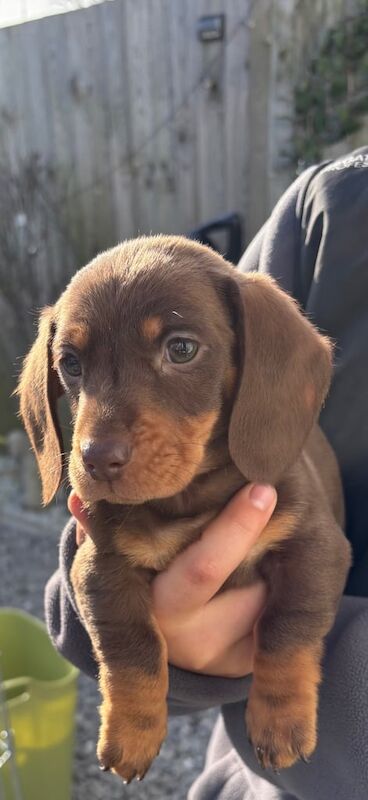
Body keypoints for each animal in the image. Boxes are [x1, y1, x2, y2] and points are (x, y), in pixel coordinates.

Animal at [18, 236, 350, 780]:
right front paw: (131, 731)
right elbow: (132, 649)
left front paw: (281, 720)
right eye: (70, 363)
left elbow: (287, 628)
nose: (96, 459)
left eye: (181, 349)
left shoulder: (314, 546)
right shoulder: (101, 568)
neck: (187, 500)